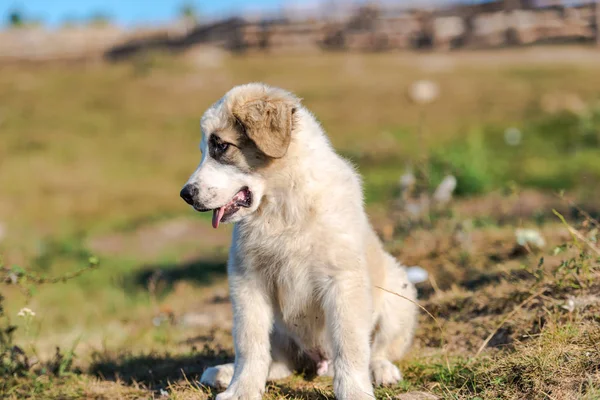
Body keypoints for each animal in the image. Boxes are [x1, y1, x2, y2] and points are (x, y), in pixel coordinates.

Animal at [179, 83, 418, 398]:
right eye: (204, 150)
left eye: (221, 146)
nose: (186, 195)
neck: (280, 206)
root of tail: (318, 362)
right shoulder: (248, 281)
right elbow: (249, 343)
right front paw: (241, 389)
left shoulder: (344, 281)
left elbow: (350, 344)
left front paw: (354, 390)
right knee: (278, 361)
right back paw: (224, 373)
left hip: (398, 293)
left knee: (379, 348)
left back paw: (381, 370)